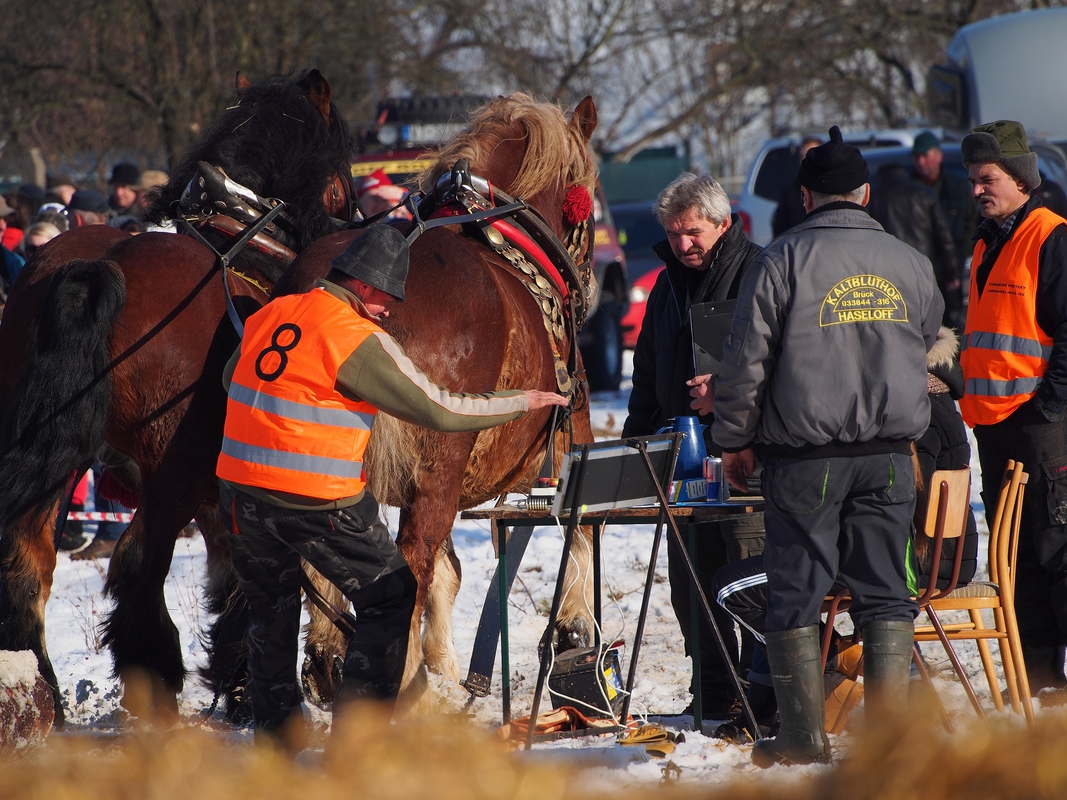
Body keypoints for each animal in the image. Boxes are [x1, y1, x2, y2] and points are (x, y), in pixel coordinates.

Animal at [0, 69, 355, 725]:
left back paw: (49, 700)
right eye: (343, 173)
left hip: (54, 452)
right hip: (171, 472)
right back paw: (155, 678)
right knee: (137, 563)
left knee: (28, 560)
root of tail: (98, 266)